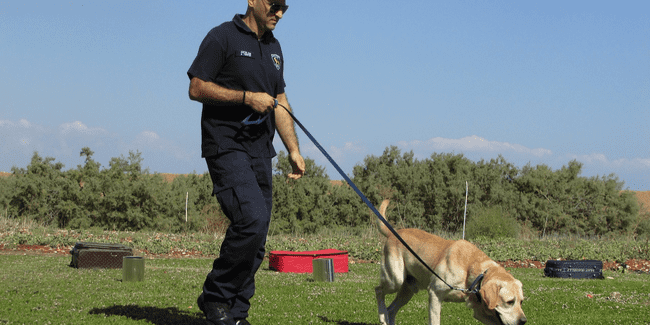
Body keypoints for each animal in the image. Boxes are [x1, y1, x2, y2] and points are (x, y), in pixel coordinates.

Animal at [372, 200, 524, 324]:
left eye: (521, 301)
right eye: (510, 302)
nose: (523, 321)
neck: (471, 270)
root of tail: (392, 233)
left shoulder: (480, 311)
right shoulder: (434, 294)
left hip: (408, 290)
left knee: (391, 310)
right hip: (395, 280)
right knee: (378, 290)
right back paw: (381, 316)